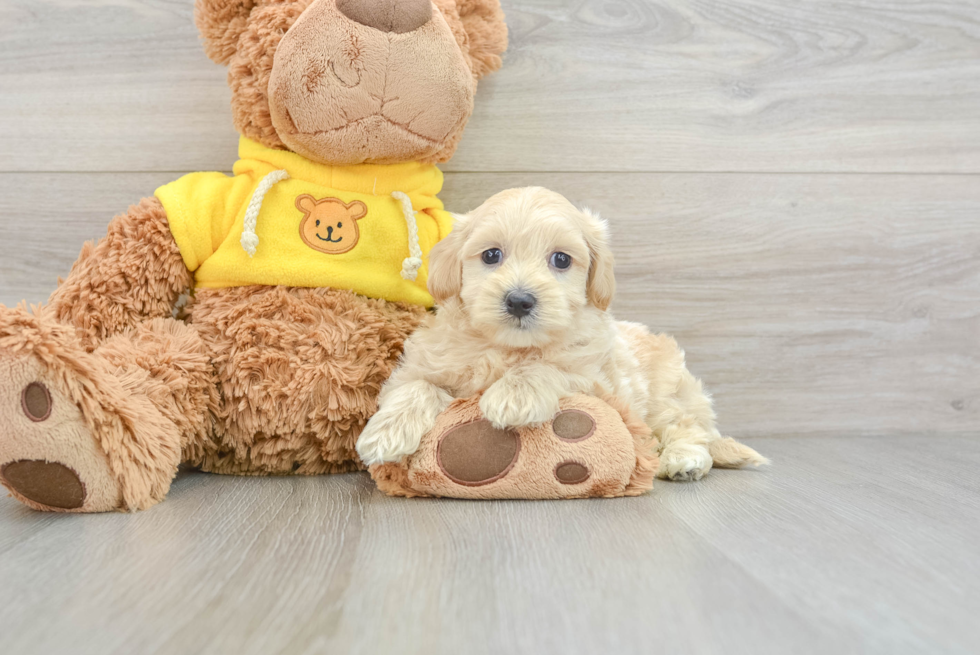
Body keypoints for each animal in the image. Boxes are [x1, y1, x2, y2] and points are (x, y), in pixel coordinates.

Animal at [356, 187, 768, 480]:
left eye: (561, 259)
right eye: (491, 255)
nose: (519, 300)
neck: (508, 347)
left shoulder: (598, 382)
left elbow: (550, 367)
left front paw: (514, 394)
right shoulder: (419, 366)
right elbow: (416, 387)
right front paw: (385, 433)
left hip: (668, 395)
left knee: (688, 429)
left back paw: (684, 460)